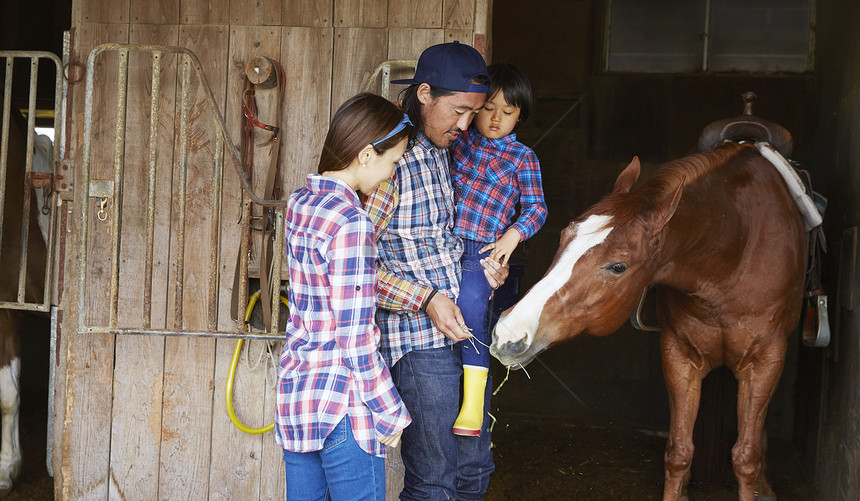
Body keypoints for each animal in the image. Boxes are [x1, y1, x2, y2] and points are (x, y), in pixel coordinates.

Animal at [490, 142, 808, 500]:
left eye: (618, 267)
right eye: (563, 236)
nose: (509, 332)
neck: (734, 247)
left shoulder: (765, 361)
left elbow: (746, 458)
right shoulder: (679, 355)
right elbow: (678, 452)